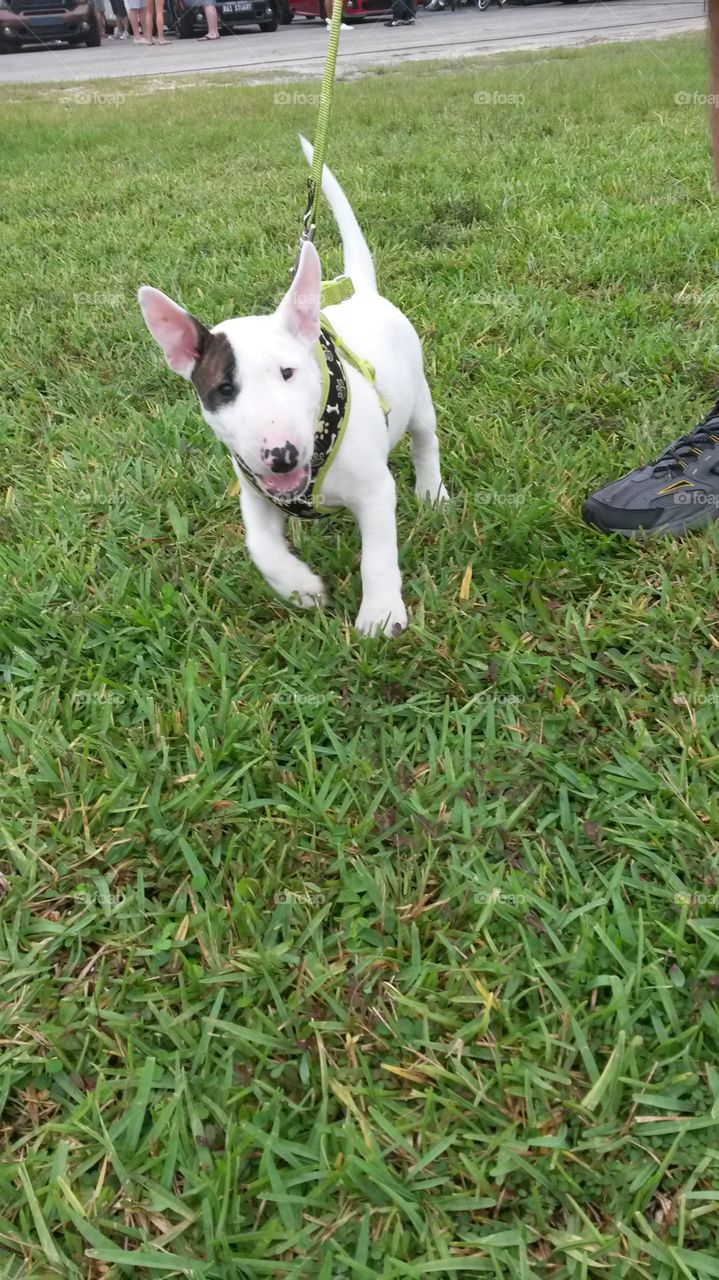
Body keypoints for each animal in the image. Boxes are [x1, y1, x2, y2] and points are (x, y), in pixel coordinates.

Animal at [136, 137, 445, 637]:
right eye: (224, 389)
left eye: (288, 373)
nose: (281, 456)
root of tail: (362, 293)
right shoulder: (255, 496)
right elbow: (260, 548)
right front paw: (301, 587)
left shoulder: (375, 491)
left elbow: (377, 557)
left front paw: (380, 615)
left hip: (418, 399)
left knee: (424, 440)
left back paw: (432, 492)